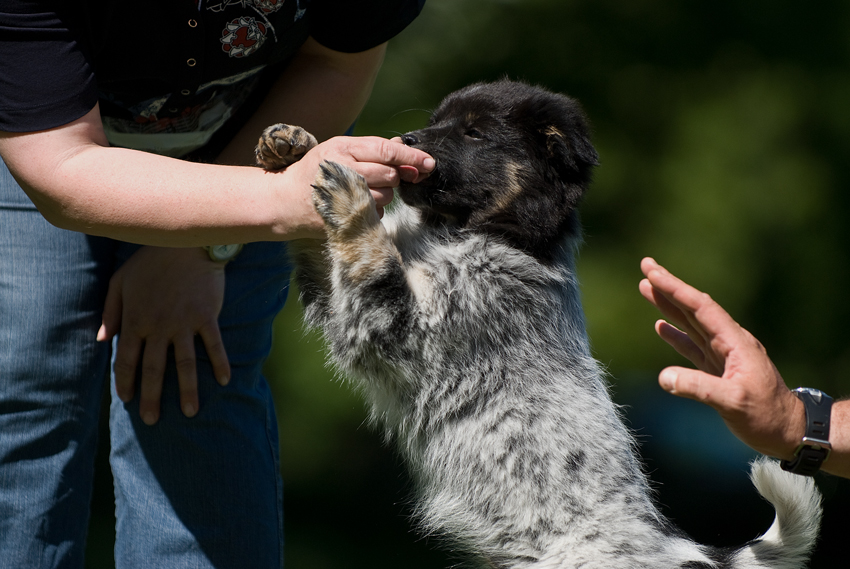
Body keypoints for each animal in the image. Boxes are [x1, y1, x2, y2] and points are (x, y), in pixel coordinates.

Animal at [255, 80, 820, 568]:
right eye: (436, 122)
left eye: (474, 133)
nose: (404, 142)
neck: (484, 234)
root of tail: (683, 551)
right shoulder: (342, 307)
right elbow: (318, 246)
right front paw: (293, 148)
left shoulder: (396, 328)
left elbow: (369, 255)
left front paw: (352, 201)